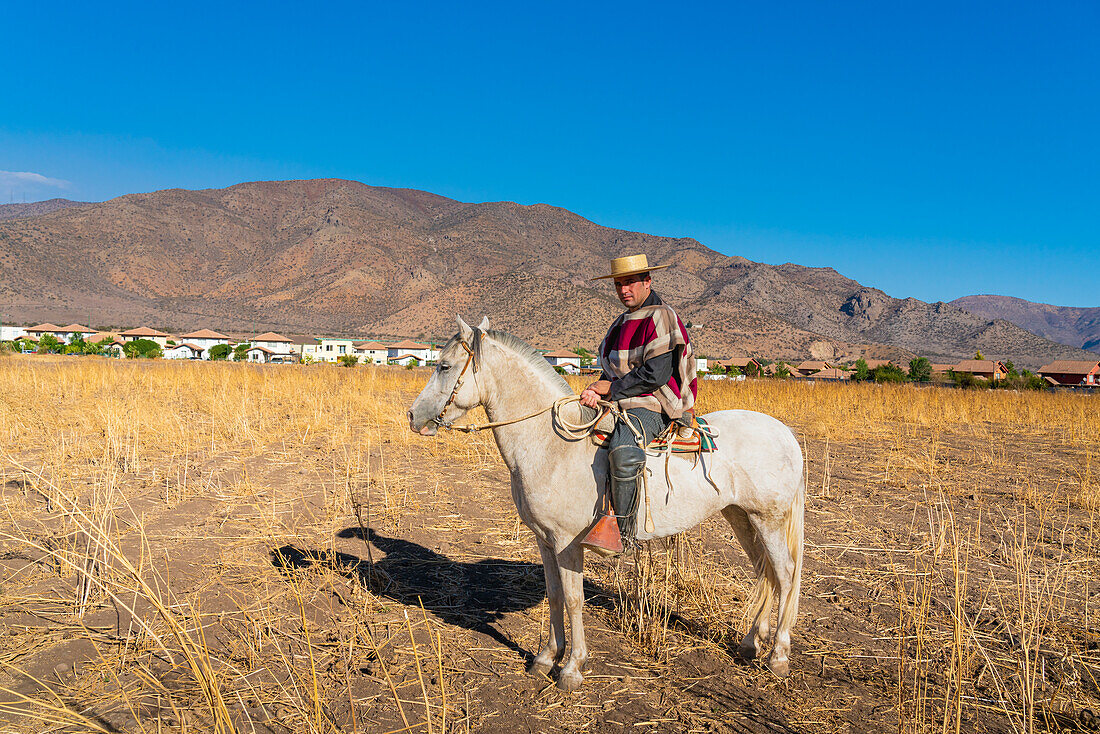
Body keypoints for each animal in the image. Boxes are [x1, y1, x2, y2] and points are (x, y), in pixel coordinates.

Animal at [409, 319, 805, 691]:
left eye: (444, 365)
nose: (413, 416)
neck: (552, 446)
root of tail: (784, 433)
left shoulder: (567, 542)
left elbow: (573, 599)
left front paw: (571, 668)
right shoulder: (544, 540)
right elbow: (554, 594)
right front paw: (545, 657)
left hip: (768, 519)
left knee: (785, 573)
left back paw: (779, 656)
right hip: (741, 516)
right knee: (766, 572)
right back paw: (751, 643)